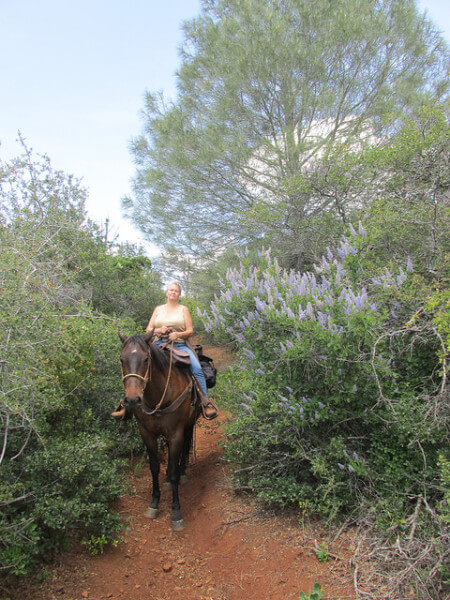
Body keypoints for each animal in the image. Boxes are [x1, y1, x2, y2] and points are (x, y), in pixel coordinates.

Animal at [118, 330, 200, 532]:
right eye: (122, 359)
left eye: (146, 359)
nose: (132, 400)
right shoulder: (146, 433)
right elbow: (154, 467)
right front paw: (154, 503)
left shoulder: (176, 433)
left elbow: (173, 470)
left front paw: (176, 513)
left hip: (189, 424)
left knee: (186, 447)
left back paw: (182, 472)